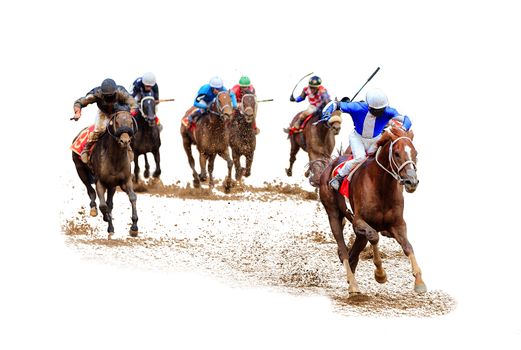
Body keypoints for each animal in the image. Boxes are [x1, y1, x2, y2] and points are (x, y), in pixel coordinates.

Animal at [72, 108, 140, 238]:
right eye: (117, 122)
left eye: (131, 123)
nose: (125, 141)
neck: (114, 157)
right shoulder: (100, 182)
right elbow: (103, 205)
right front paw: (110, 226)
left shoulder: (125, 180)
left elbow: (132, 197)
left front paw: (134, 227)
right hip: (80, 170)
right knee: (90, 191)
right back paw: (94, 209)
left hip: (111, 185)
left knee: (109, 202)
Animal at [306, 126, 424, 296]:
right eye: (396, 153)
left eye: (415, 153)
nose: (411, 181)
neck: (381, 187)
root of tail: (330, 165)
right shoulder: (358, 221)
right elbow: (374, 236)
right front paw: (380, 274)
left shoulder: (398, 224)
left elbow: (408, 247)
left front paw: (419, 282)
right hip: (333, 214)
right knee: (344, 251)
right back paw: (353, 286)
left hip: (359, 234)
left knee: (353, 255)